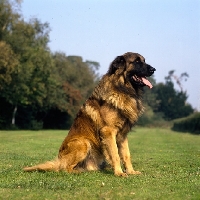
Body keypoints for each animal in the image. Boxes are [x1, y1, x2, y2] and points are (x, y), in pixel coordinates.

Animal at [23, 52, 155, 177]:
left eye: (144, 61)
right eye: (137, 62)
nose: (153, 69)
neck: (122, 88)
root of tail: (59, 160)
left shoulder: (122, 135)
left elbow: (126, 155)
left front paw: (131, 171)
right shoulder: (108, 131)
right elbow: (116, 155)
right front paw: (119, 173)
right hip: (84, 142)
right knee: (64, 168)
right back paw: (78, 171)